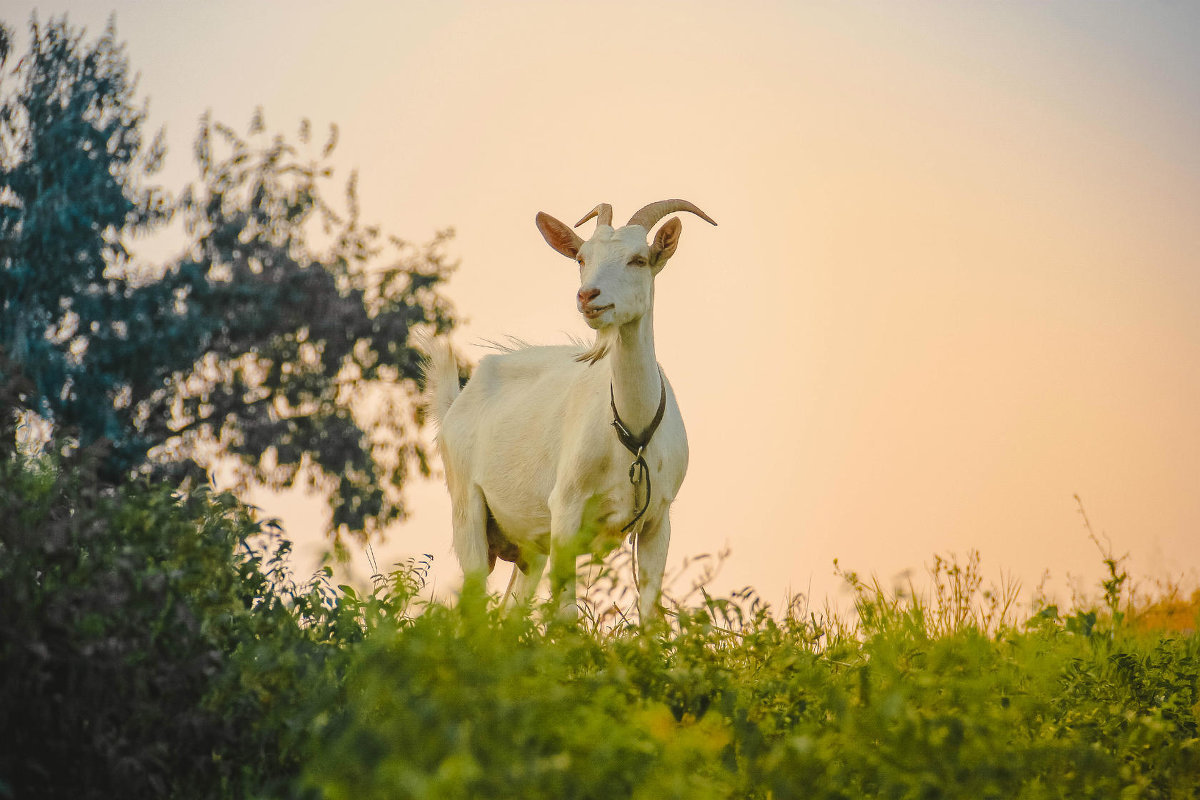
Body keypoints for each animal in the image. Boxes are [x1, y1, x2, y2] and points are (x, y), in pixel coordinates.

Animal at [424, 199, 710, 618]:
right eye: (581, 258)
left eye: (639, 259)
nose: (588, 296)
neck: (631, 431)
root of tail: (455, 404)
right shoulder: (565, 512)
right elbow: (567, 615)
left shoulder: (659, 519)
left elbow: (649, 615)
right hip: (467, 512)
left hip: (529, 551)